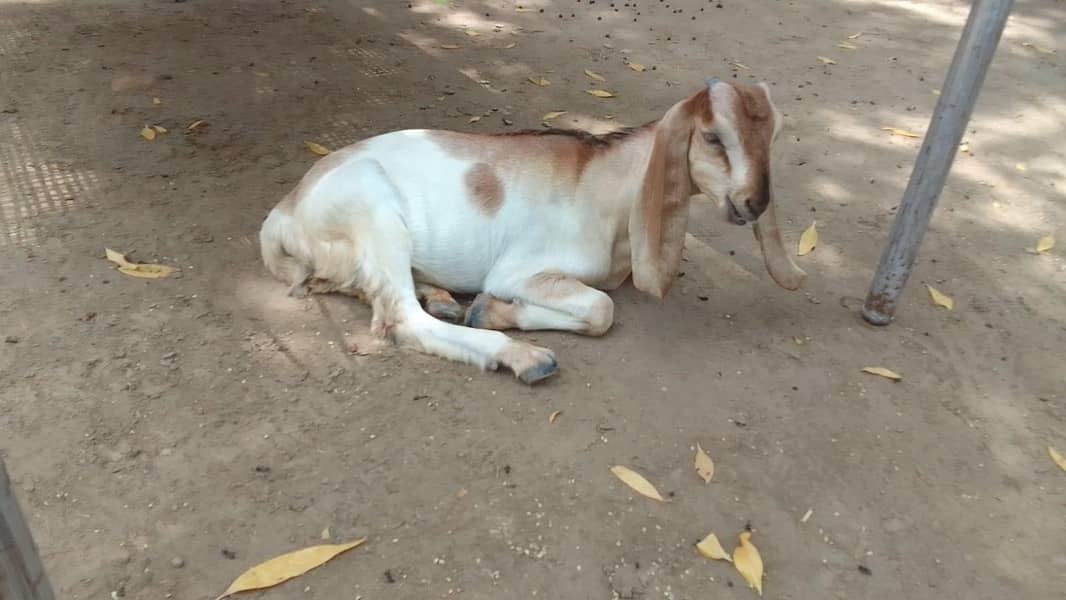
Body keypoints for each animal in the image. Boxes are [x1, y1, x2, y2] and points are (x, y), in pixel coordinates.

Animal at [259, 78, 806, 384]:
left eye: (773, 137)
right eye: (714, 137)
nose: (754, 202)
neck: (605, 188)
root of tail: (284, 212)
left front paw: (486, 310)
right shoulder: (519, 271)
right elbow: (601, 309)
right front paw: (493, 312)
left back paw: (442, 297)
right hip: (375, 212)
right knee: (402, 319)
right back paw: (523, 357)